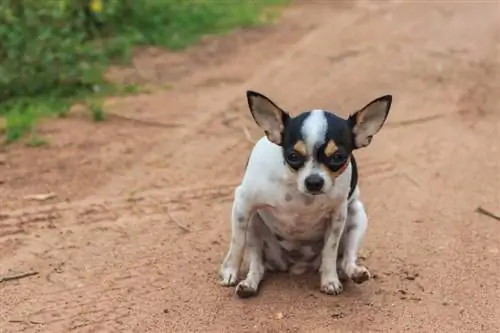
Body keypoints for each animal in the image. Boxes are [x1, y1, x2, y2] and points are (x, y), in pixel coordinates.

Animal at [221, 89, 392, 296]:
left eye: (338, 157)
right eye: (293, 156)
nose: (314, 182)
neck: (299, 192)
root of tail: (296, 265)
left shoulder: (337, 216)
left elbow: (330, 250)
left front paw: (329, 280)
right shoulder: (243, 205)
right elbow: (237, 244)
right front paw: (230, 271)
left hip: (356, 216)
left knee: (345, 260)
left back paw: (354, 272)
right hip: (254, 226)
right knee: (257, 265)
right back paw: (249, 284)